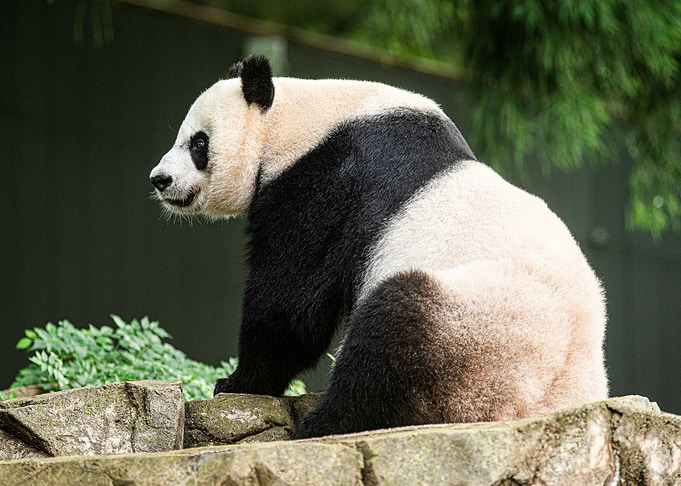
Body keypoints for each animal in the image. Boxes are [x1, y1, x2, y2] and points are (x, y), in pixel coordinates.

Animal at [149, 55, 608, 439]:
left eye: (198, 143)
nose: (159, 179)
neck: (297, 122)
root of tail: (555, 404)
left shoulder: (330, 185)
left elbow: (290, 300)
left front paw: (237, 382)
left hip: (484, 337)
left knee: (393, 331)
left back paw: (321, 425)